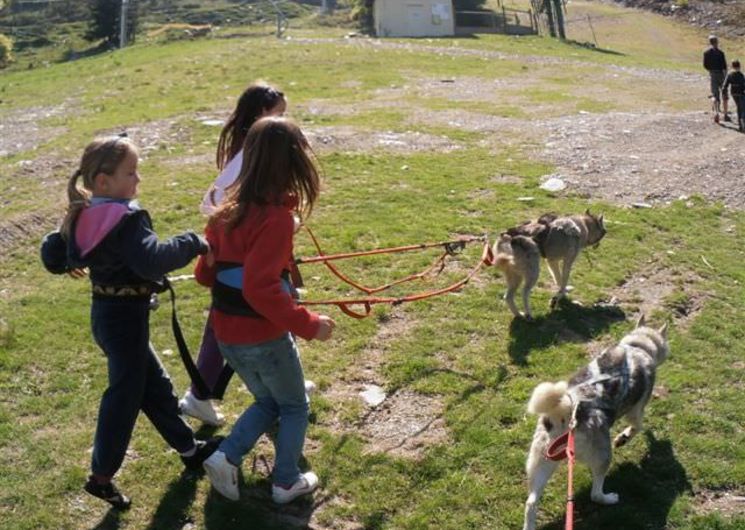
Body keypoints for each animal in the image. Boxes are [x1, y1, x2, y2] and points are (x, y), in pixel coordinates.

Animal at [524, 316, 668, 524]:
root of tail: (567, 411)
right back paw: (609, 498)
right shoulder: (636, 410)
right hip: (603, 458)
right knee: (595, 494)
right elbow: (638, 426)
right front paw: (623, 438)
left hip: (542, 462)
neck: (638, 346)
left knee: (531, 503)